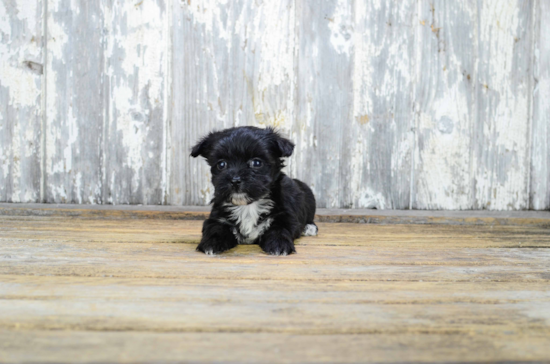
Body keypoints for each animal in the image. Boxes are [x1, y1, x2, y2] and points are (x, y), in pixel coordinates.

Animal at [191, 126, 316, 255]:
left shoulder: (286, 216)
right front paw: (212, 243)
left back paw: (309, 228)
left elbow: (280, 229)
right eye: (221, 164)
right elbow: (215, 228)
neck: (248, 206)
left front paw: (278, 244)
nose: (235, 180)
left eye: (256, 163)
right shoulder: (217, 218)